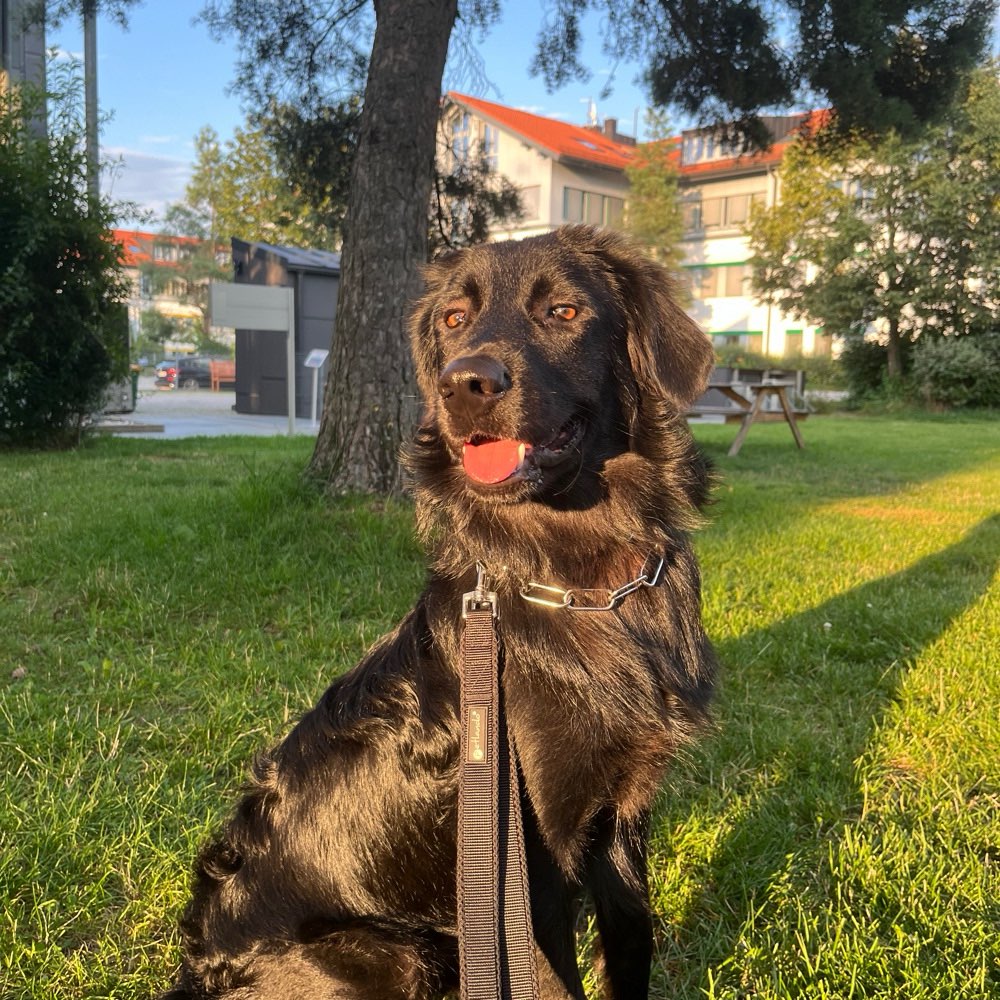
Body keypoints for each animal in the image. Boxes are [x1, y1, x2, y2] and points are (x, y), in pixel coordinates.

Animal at [158, 229, 720, 1000]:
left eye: (565, 310)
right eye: (454, 320)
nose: (465, 383)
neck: (580, 582)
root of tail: (193, 974)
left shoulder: (623, 819)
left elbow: (633, 944)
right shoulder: (526, 875)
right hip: (400, 953)